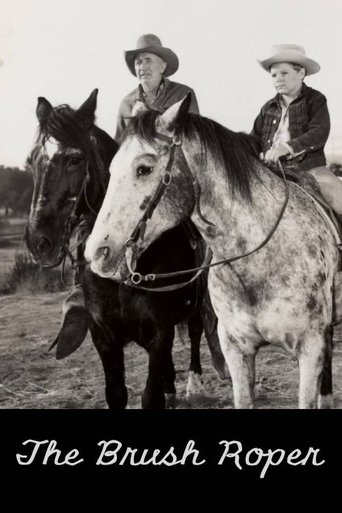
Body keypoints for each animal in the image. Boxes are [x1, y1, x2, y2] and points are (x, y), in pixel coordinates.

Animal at [24, 88, 227, 408]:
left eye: (74, 160)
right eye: (32, 160)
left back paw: (193, 384)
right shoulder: (104, 335)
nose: (38, 241)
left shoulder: (160, 331)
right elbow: (116, 393)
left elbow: (150, 395)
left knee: (195, 330)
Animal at [84, 95, 338, 408]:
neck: (259, 263)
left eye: (144, 169)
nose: (96, 252)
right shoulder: (235, 349)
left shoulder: (309, 347)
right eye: (110, 169)